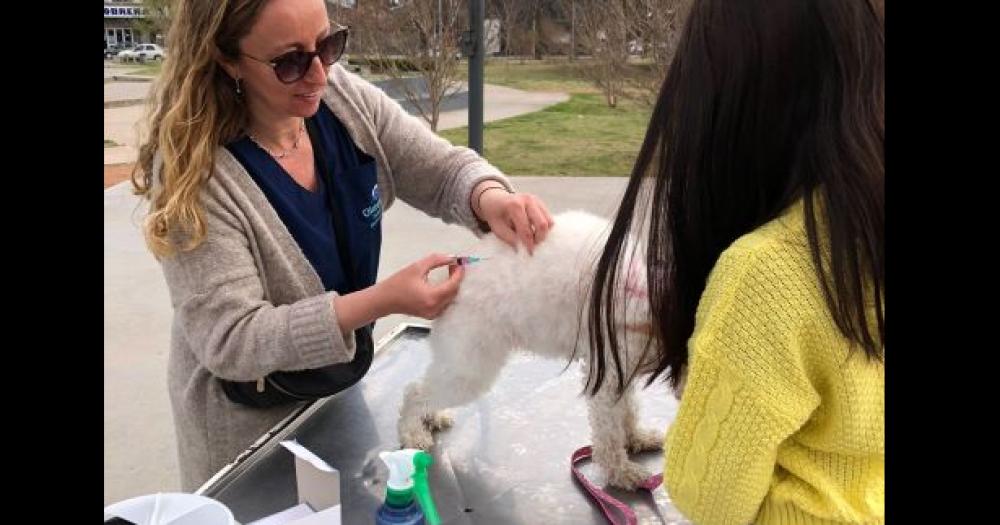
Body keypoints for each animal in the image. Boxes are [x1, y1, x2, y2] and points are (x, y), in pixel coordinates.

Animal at [398, 209, 672, 488]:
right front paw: (622, 471)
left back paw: (432, 416)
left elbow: (627, 409)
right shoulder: (607, 372)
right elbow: (609, 432)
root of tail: (454, 275)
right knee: (414, 392)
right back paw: (413, 433)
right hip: (470, 365)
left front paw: (637, 437)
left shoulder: (623, 367)